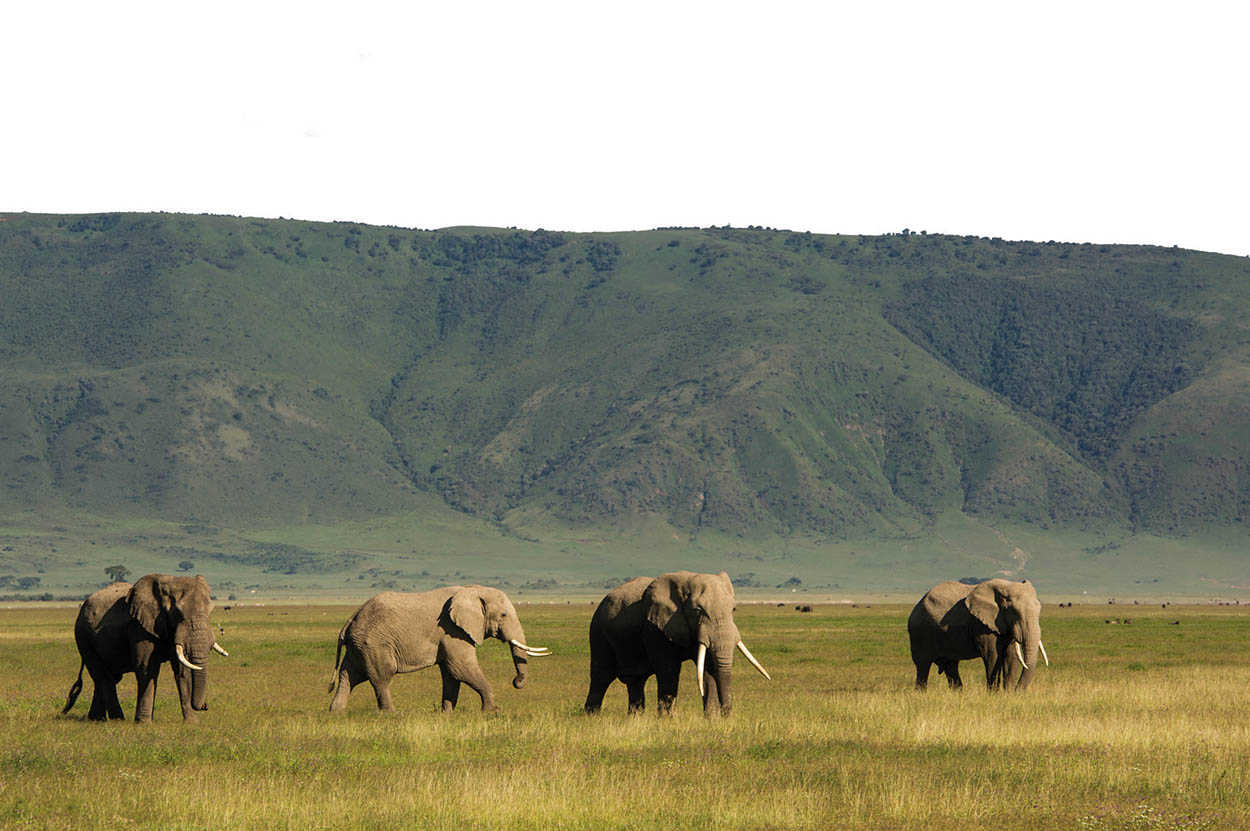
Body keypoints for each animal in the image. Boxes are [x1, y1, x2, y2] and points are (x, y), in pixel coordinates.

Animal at [63, 574, 231, 724]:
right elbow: (146, 669)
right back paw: (118, 720)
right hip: (83, 637)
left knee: (109, 677)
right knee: (103, 676)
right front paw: (144, 723)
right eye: (177, 613)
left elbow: (182, 671)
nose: (205, 706)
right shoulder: (139, 627)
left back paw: (97, 720)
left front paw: (192, 723)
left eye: (211, 611)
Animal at [330, 582, 550, 714]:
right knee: (381, 677)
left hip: (359, 646)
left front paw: (447, 713)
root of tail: (351, 618)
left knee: (349, 675)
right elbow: (461, 668)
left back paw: (336, 711)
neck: (472, 590)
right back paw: (392, 713)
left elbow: (450, 673)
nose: (517, 681)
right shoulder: (452, 630)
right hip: (375, 644)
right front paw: (492, 712)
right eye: (503, 615)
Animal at [582, 569, 770, 714]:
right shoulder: (655, 627)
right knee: (600, 678)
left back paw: (635, 720)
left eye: (734, 609)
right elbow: (668, 669)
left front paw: (712, 719)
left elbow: (707, 668)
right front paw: (667, 721)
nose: (727, 714)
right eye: (698, 610)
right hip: (598, 633)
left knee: (636, 682)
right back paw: (592, 717)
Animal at [905, 574, 1050, 689]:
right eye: (1014, 612)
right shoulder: (981, 624)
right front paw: (994, 695)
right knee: (923, 666)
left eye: (1039, 610)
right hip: (919, 632)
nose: (1017, 690)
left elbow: (1010, 658)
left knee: (951, 666)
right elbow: (992, 655)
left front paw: (1008, 695)